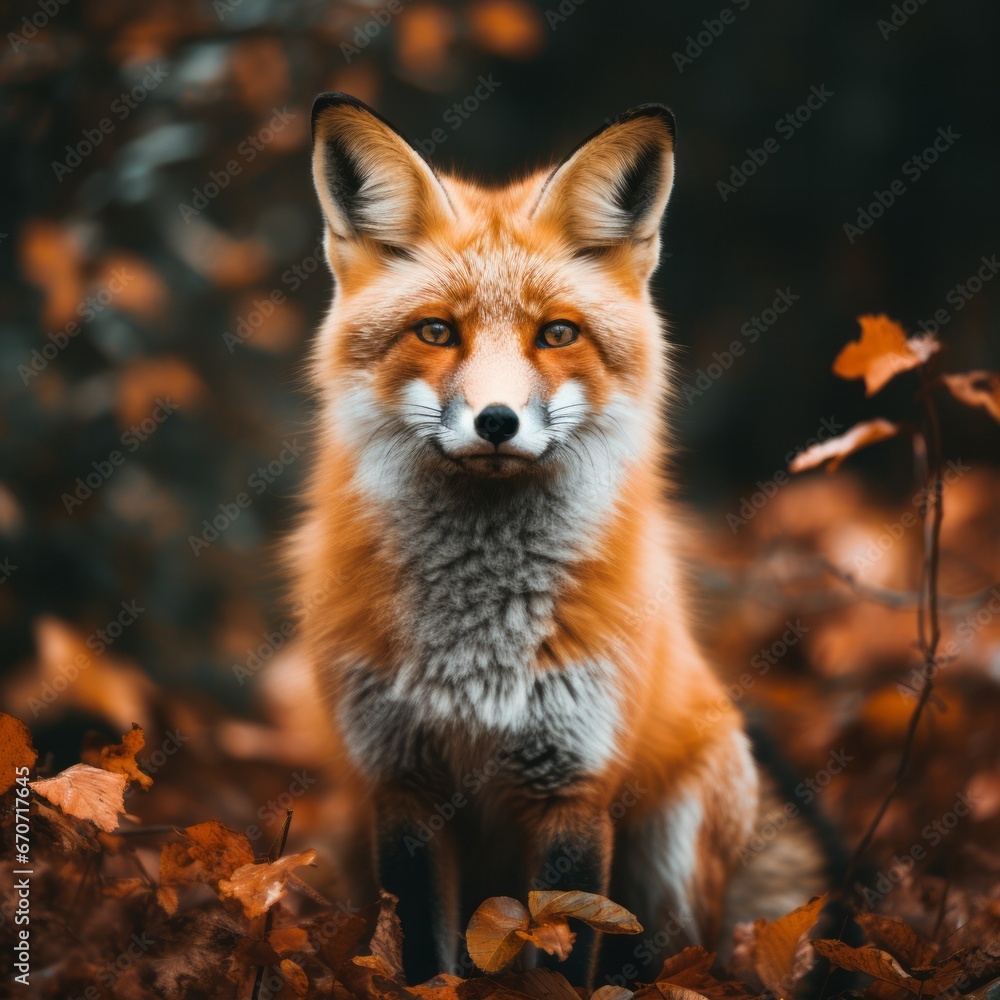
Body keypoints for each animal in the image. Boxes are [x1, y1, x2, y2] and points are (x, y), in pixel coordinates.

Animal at [291, 93, 832, 987]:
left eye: (556, 335)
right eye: (436, 333)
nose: (497, 421)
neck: (477, 651)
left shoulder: (573, 787)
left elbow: (559, 955)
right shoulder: (402, 784)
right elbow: (425, 961)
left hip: (674, 854)